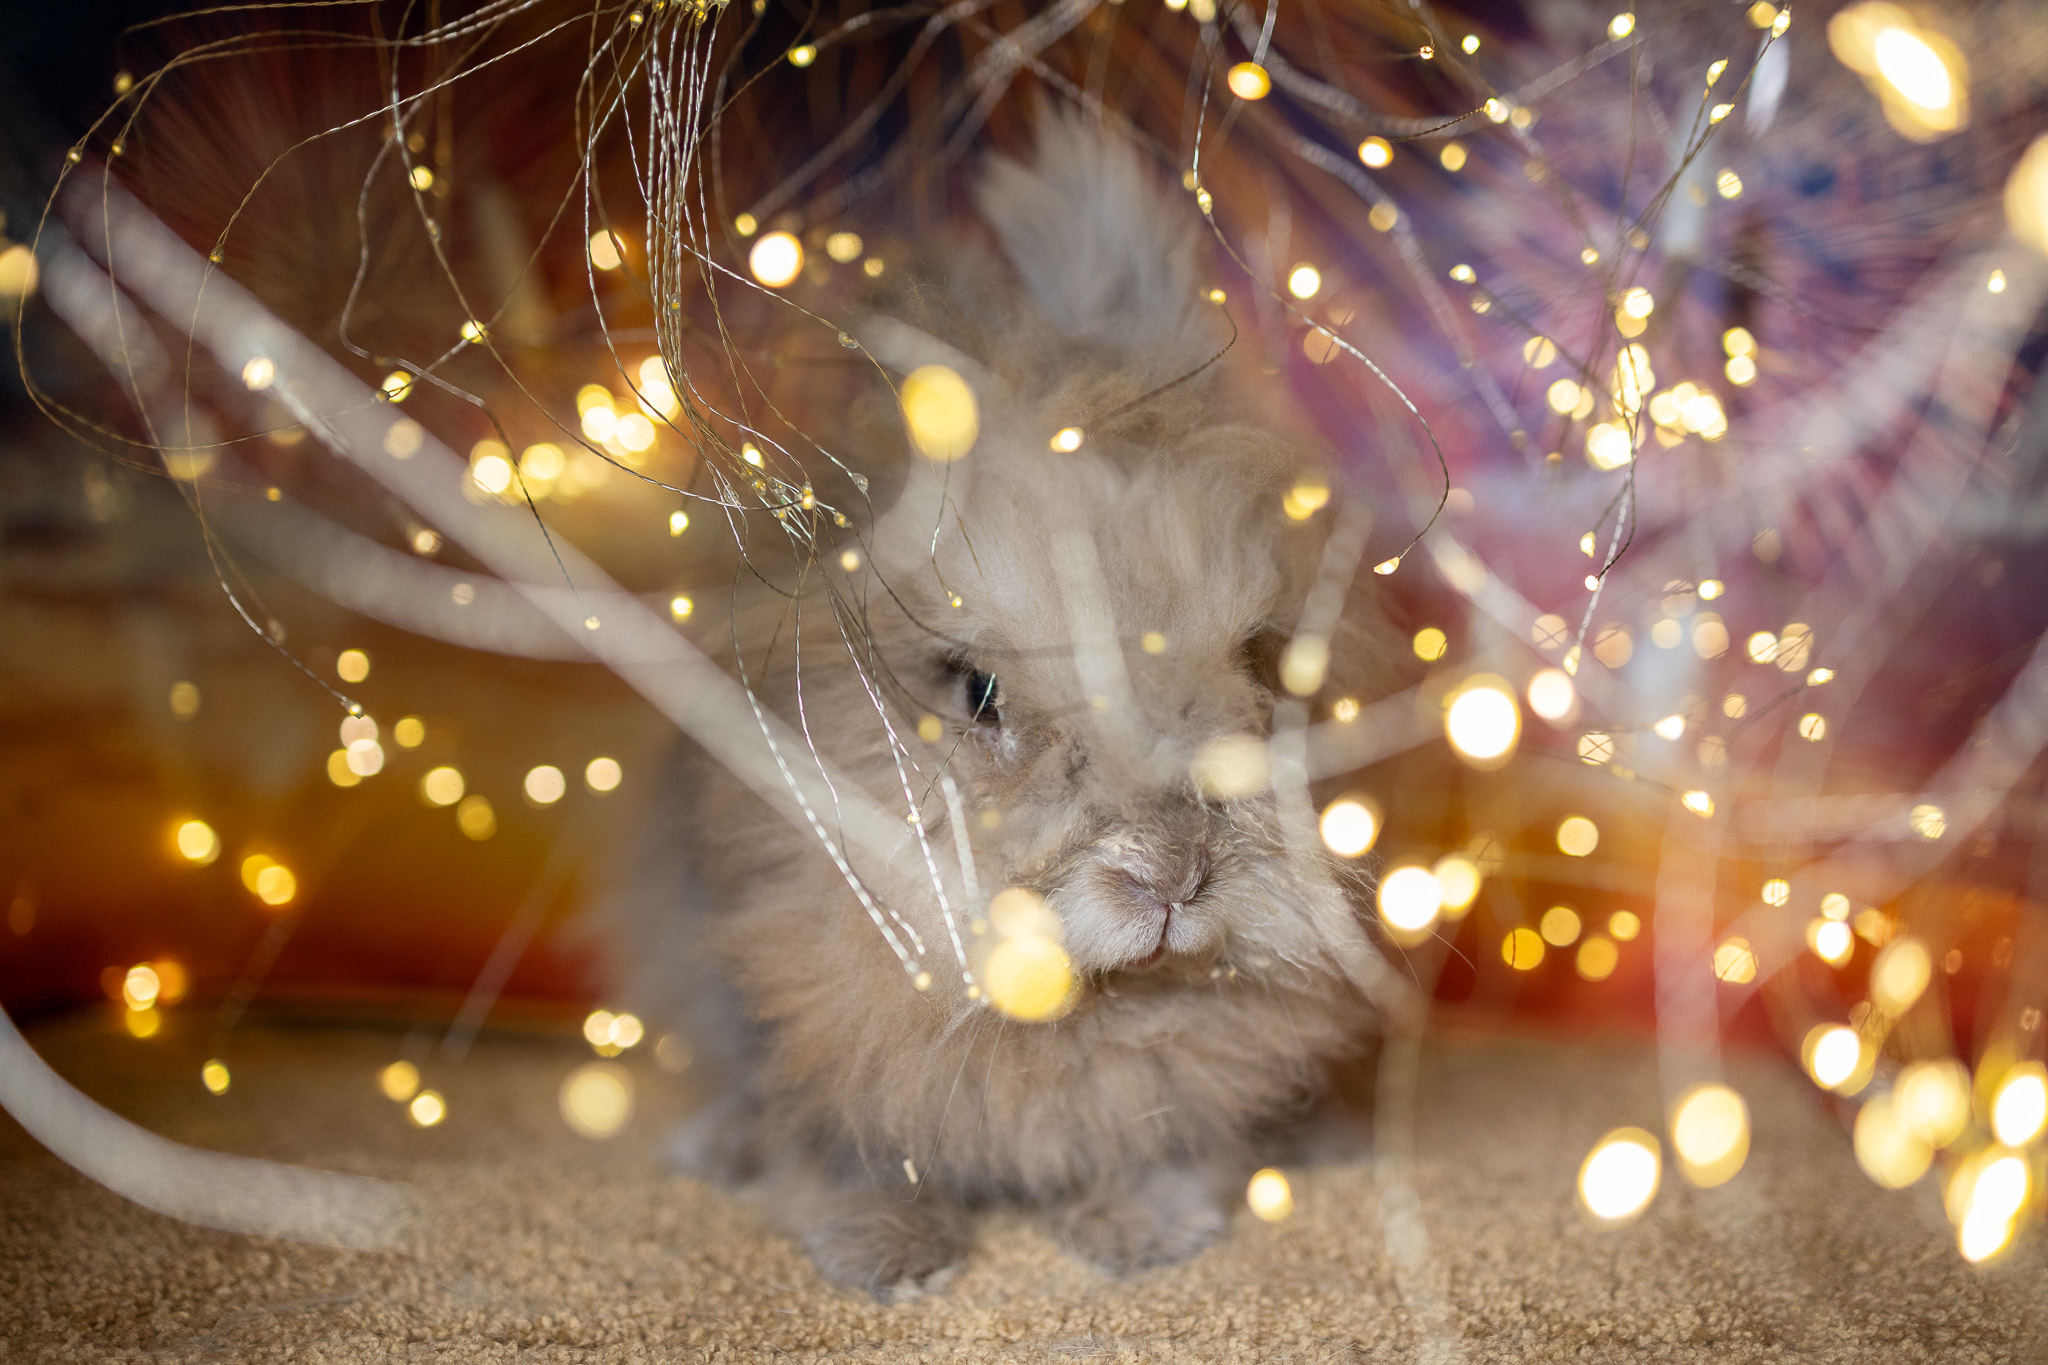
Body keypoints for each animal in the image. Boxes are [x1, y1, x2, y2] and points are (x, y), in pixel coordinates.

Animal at [604, 114, 1403, 1300]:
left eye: (1256, 660)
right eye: (976, 690)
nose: (1172, 878)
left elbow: (1175, 1135)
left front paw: (1137, 1233)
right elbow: (833, 1141)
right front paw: (888, 1258)